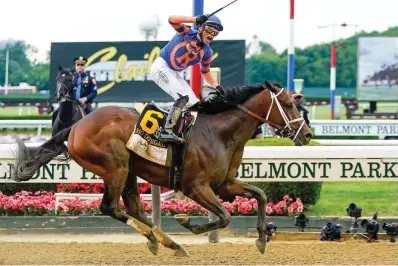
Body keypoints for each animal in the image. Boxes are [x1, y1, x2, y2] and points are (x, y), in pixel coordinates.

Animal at [10, 79, 312, 256]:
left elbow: (260, 195)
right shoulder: (195, 187)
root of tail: (76, 127)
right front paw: (189, 222)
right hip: (115, 167)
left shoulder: (224, 183)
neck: (219, 132)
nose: (307, 135)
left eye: (298, 103)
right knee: (111, 207)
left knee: (133, 208)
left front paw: (261, 238)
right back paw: (161, 239)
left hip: (128, 171)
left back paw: (167, 242)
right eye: (288, 104)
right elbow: (225, 216)